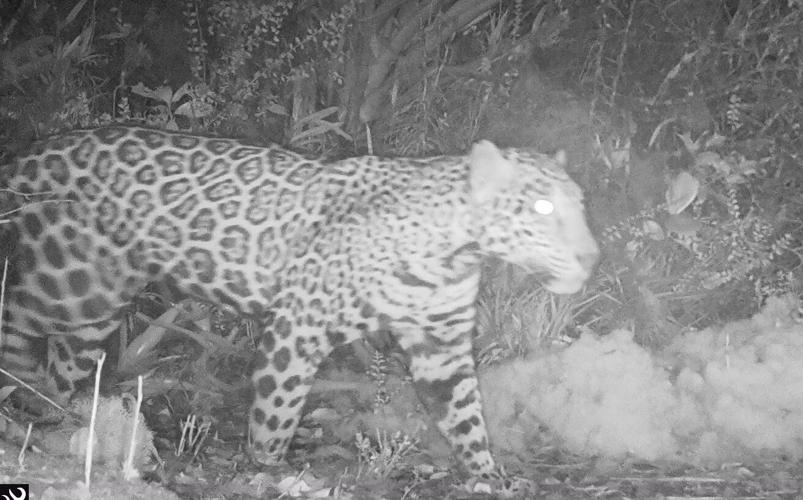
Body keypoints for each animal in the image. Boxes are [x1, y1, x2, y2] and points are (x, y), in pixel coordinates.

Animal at [0, 125, 599, 477]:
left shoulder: (442, 345)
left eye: (578, 203)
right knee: (15, 319)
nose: (592, 256)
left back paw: (51, 416)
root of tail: (32, 149)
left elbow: (467, 416)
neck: (454, 253)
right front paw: (265, 470)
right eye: (542, 208)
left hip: (92, 311)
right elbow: (278, 410)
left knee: (61, 365)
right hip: (68, 281)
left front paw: (489, 478)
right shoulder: (298, 328)